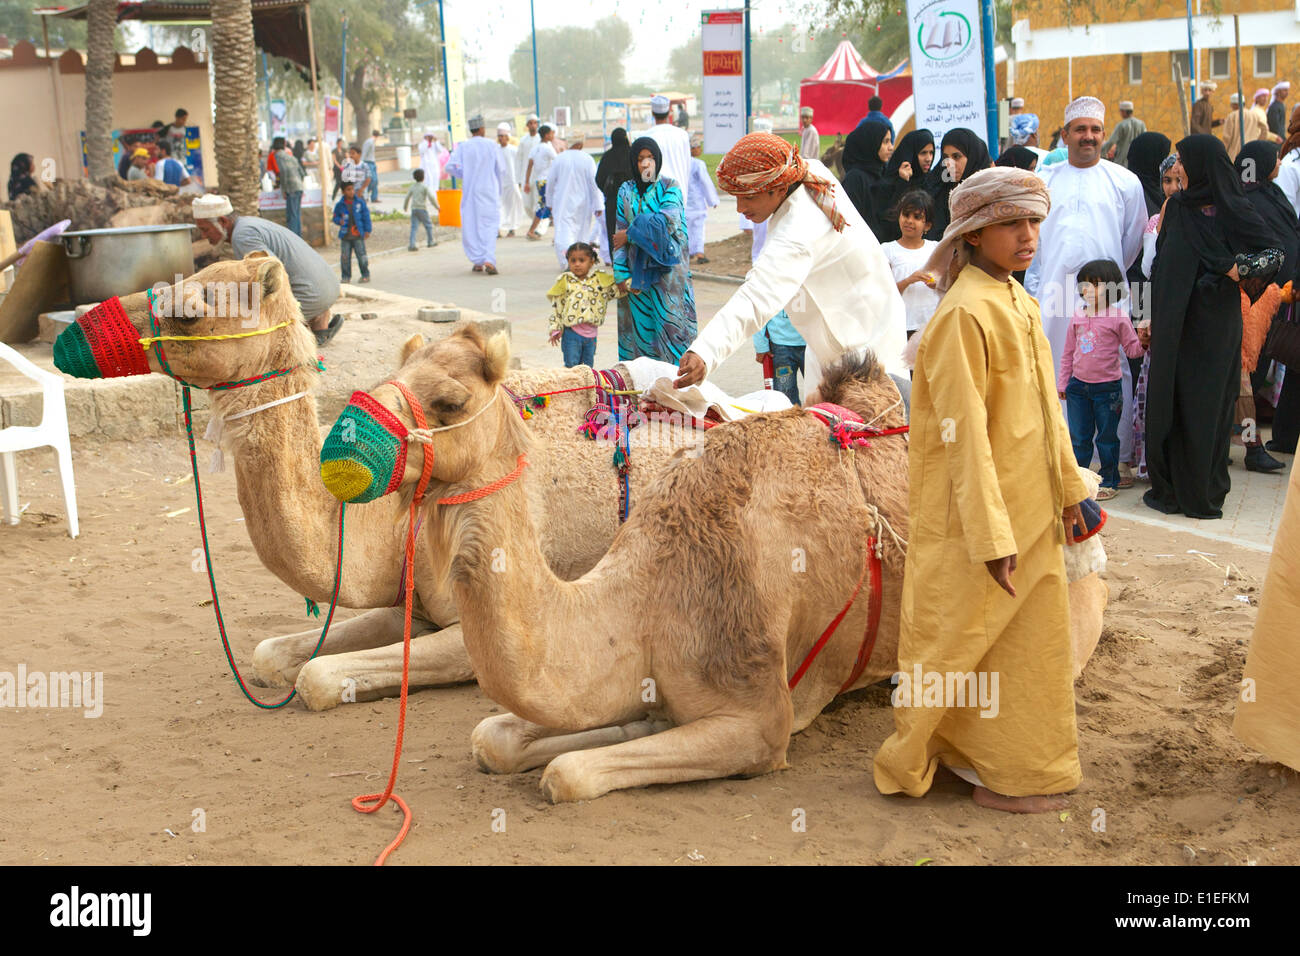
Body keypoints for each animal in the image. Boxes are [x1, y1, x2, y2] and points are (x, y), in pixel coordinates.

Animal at [53, 254, 702, 712]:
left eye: (191, 309)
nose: (69, 338)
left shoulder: (477, 621)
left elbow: (316, 676)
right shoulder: (409, 603)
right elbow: (270, 654)